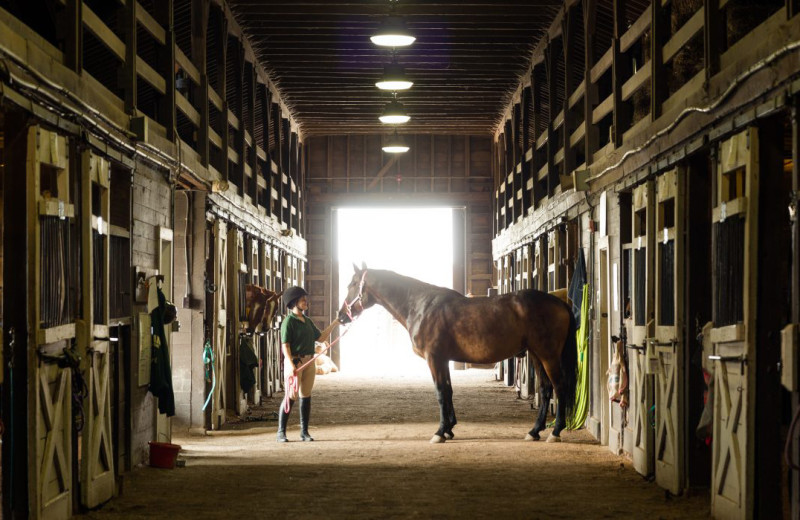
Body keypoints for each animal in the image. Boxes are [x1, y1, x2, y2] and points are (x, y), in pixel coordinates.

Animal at [336, 264, 576, 442]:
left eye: (353, 284)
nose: (341, 316)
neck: (421, 306)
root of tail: (560, 302)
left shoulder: (434, 359)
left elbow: (440, 392)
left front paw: (439, 433)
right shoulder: (443, 360)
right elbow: (448, 391)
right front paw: (450, 428)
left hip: (548, 356)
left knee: (559, 387)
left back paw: (555, 432)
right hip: (536, 355)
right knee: (545, 389)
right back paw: (534, 431)